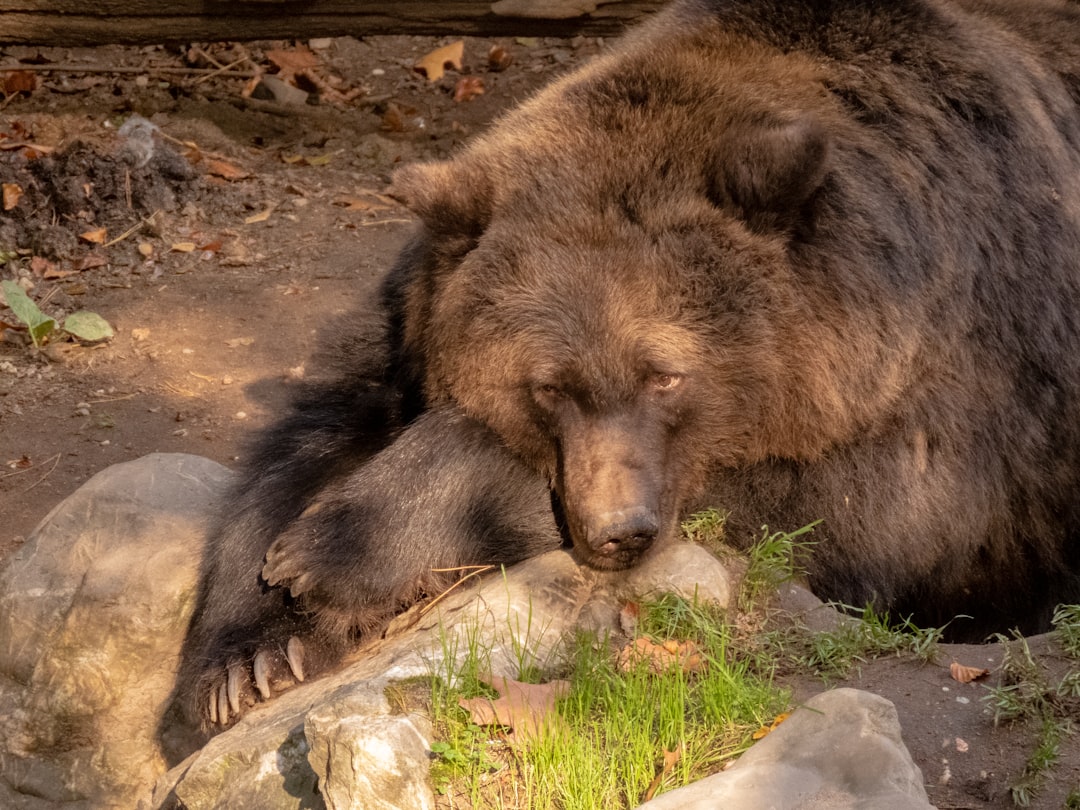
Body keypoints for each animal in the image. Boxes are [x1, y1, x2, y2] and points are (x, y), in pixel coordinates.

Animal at [175, 0, 1080, 730]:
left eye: (666, 374)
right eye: (548, 386)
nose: (622, 532)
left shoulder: (949, 385)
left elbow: (851, 510)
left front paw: (333, 551)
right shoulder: (411, 328)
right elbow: (318, 430)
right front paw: (251, 655)